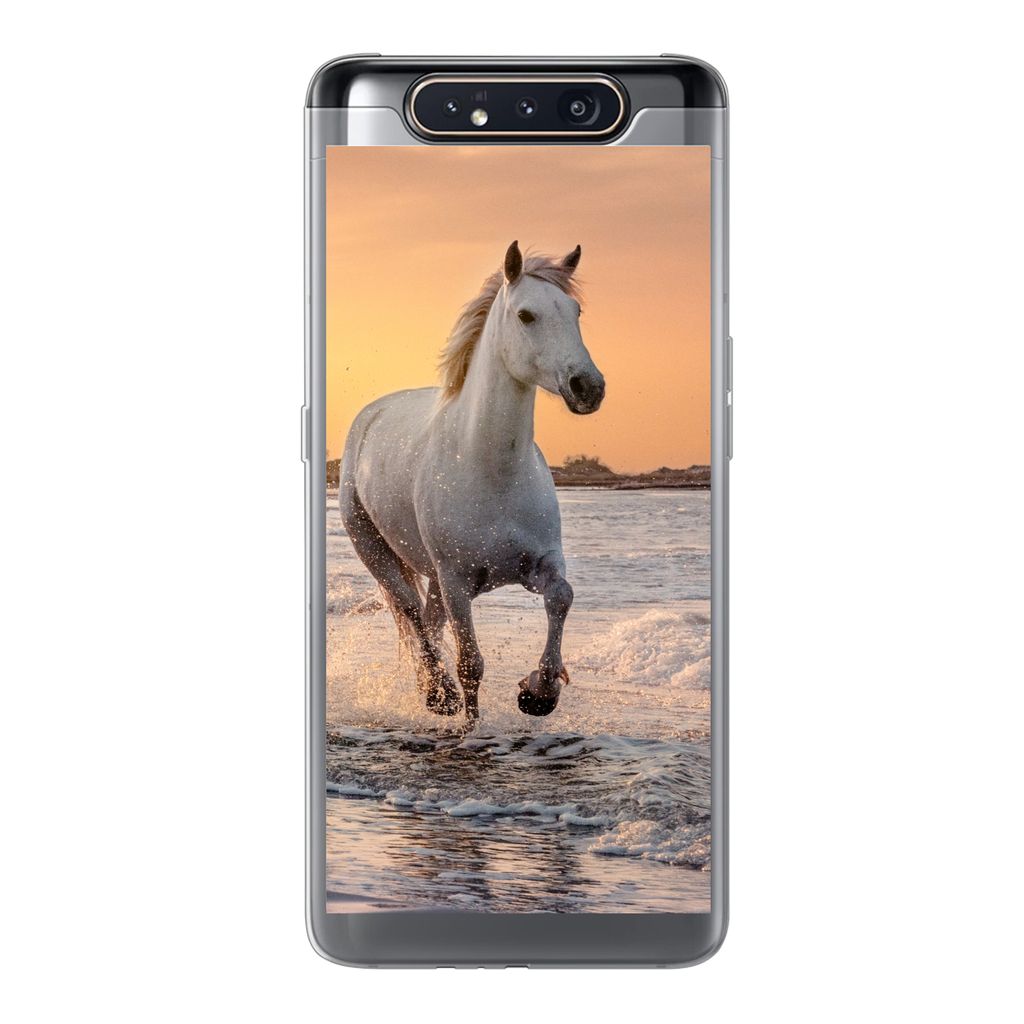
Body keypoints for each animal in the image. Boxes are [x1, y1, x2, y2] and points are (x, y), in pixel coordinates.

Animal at [339, 240, 605, 721]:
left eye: (575, 310)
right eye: (525, 315)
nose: (588, 387)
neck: (491, 471)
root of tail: (370, 415)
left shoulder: (539, 564)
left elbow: (562, 597)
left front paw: (539, 692)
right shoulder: (457, 581)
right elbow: (471, 665)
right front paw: (472, 723)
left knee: (427, 621)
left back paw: (431, 690)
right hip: (376, 551)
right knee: (411, 613)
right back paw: (438, 694)